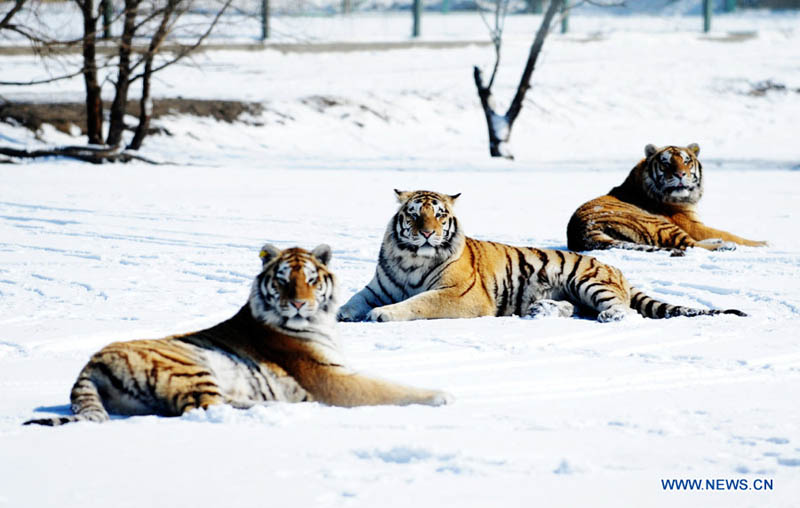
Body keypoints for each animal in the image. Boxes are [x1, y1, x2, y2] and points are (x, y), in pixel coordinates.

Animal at [23, 244, 450, 426]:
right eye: (283, 280)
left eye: (311, 279)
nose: (300, 304)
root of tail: (88, 365)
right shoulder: (330, 377)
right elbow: (387, 388)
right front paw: (440, 395)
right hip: (191, 364)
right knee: (204, 407)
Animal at [334, 189, 748, 324]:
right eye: (414, 214)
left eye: (439, 215)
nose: (426, 232)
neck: (411, 258)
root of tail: (617, 269)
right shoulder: (379, 285)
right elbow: (354, 298)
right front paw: (340, 312)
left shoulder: (460, 296)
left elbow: (418, 302)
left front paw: (382, 315)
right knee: (574, 309)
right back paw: (540, 310)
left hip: (586, 280)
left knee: (621, 309)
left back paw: (610, 317)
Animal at [564, 142, 764, 254]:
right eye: (666, 162)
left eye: (686, 161)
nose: (680, 174)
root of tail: (582, 232)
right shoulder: (690, 224)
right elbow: (731, 234)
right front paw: (763, 243)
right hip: (657, 222)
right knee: (689, 245)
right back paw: (725, 246)